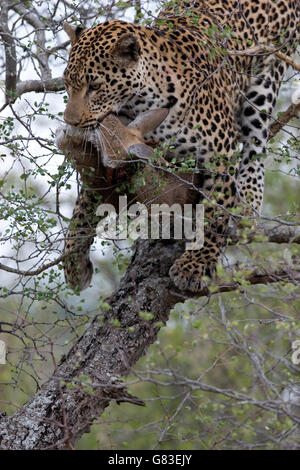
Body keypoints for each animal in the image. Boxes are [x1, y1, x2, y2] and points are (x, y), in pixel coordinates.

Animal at [61, 0, 300, 292]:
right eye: (67, 84)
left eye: (94, 86)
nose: (70, 121)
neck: (139, 102)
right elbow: (84, 204)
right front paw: (74, 264)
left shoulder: (220, 152)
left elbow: (215, 212)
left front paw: (196, 265)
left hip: (266, 77)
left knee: (256, 144)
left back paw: (247, 201)